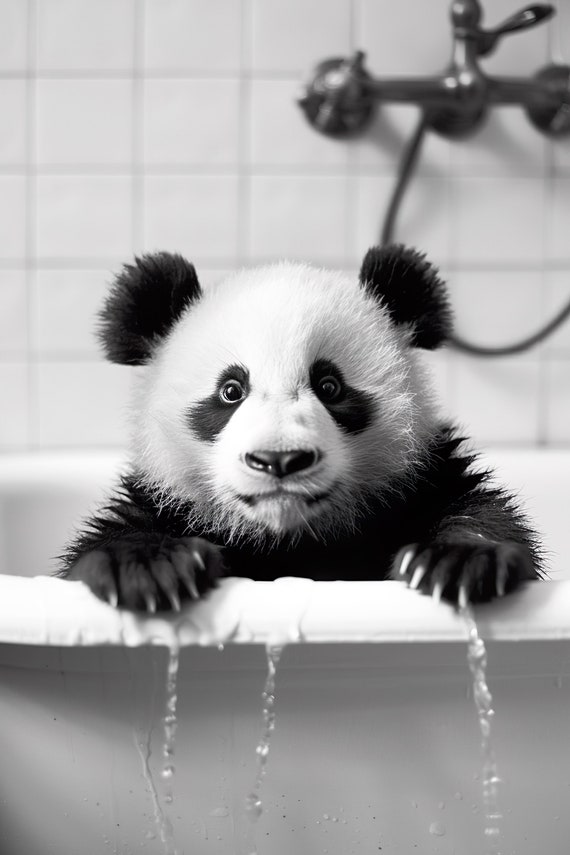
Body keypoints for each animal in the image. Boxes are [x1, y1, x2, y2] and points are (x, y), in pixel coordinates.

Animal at [60, 244, 543, 612]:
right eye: (231, 391)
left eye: (329, 386)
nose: (280, 460)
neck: (290, 540)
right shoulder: (166, 503)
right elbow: (115, 538)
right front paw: (147, 567)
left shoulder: (420, 482)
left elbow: (478, 512)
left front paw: (459, 563)